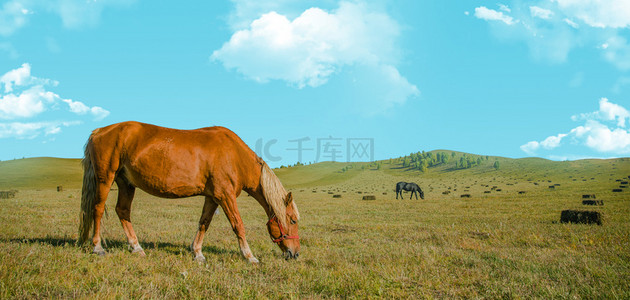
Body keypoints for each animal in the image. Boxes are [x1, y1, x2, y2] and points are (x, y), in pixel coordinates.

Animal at [78, 122, 302, 262]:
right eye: (292, 220)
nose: (296, 253)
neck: (235, 156)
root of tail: (99, 131)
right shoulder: (225, 196)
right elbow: (238, 225)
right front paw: (249, 256)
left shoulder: (212, 197)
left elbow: (204, 223)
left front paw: (197, 253)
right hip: (105, 179)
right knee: (98, 210)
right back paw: (98, 247)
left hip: (126, 183)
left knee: (123, 211)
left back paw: (136, 247)